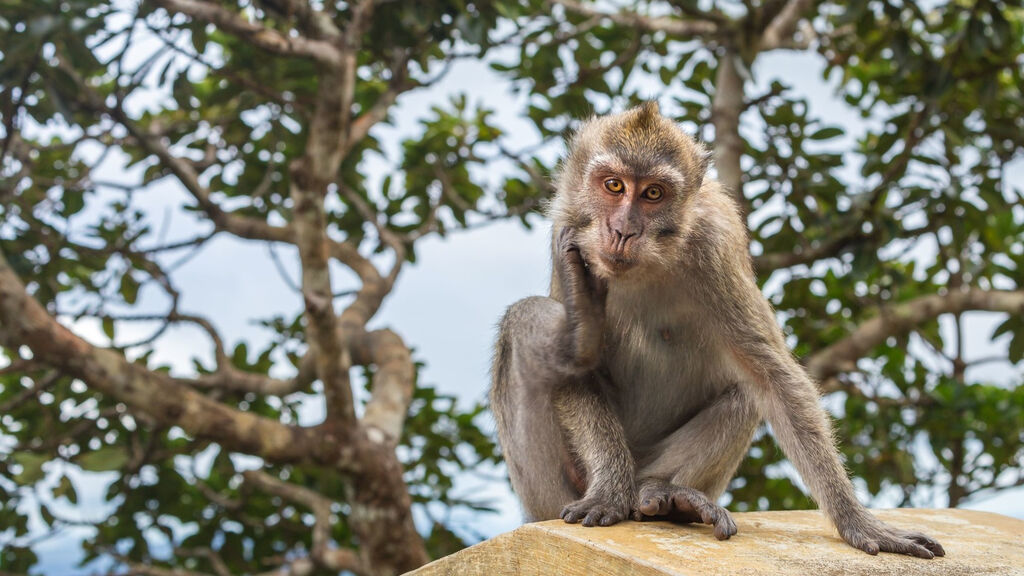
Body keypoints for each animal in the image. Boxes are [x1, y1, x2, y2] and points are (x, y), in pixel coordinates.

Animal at [491, 101, 946, 557]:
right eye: (614, 185)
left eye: (653, 193)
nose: (622, 231)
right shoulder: (565, 229)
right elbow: (576, 375)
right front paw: (609, 490)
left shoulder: (716, 245)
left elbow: (773, 377)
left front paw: (858, 523)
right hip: (549, 496)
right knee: (521, 326)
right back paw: (579, 339)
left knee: (746, 392)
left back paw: (660, 494)